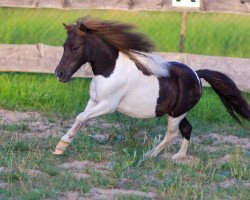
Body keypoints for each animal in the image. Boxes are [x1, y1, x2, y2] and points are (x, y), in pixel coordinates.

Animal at [53, 17, 250, 161]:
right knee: (187, 129)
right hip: (177, 113)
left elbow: (81, 117)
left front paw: (61, 145)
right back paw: (178, 156)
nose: (59, 74)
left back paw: (150, 155)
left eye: (75, 47)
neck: (110, 72)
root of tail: (197, 74)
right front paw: (61, 147)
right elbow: (81, 119)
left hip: (176, 115)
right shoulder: (94, 101)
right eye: (63, 46)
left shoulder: (108, 105)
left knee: (172, 134)